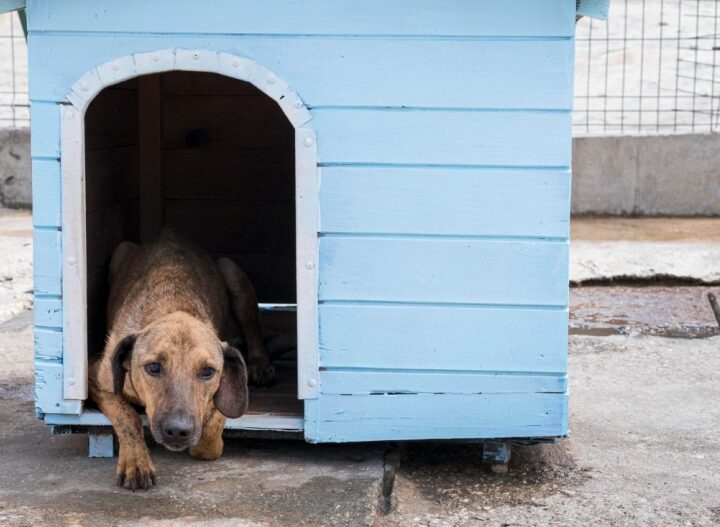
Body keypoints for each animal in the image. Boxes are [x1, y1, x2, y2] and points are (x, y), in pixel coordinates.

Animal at [87, 230, 272, 490]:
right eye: (154, 367)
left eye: (208, 371)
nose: (177, 431)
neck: (172, 307)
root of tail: (170, 233)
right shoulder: (97, 379)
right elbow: (128, 417)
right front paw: (136, 462)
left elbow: (210, 434)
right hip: (120, 252)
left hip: (232, 271)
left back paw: (260, 364)